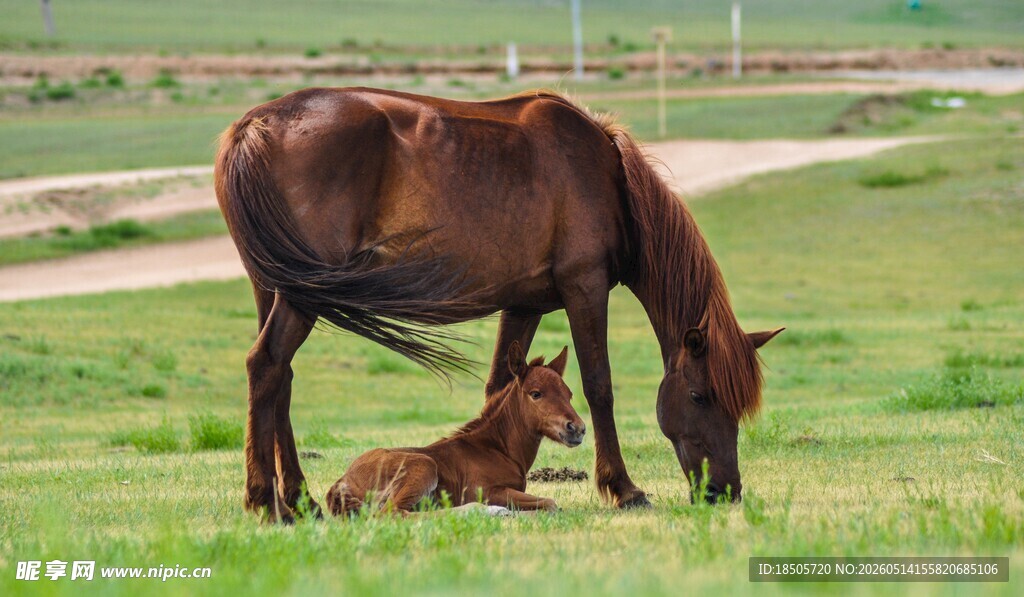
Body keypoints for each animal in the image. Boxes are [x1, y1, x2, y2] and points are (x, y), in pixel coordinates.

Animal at [325, 342, 583, 516]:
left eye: (569, 394)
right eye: (536, 393)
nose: (577, 429)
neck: (497, 449)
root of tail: (342, 482)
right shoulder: (488, 490)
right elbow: (550, 503)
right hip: (424, 466)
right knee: (394, 513)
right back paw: (486, 511)